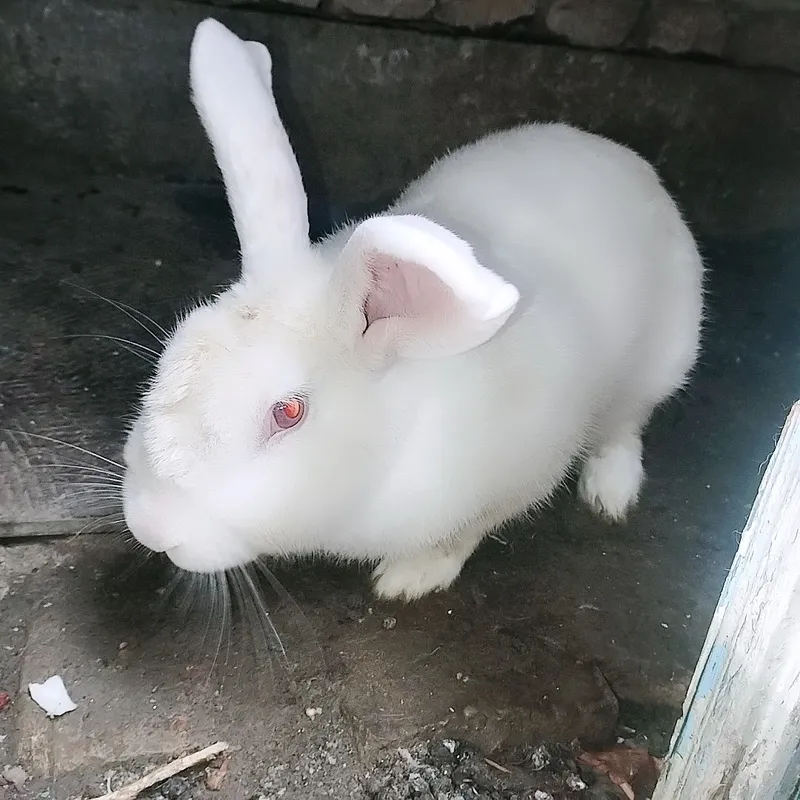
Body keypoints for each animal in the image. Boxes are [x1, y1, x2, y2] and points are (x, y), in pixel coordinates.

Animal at [122, 18, 704, 601]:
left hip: (659, 363)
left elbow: (461, 535)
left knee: (624, 424)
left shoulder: (519, 476)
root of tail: (621, 156)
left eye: (288, 413)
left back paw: (611, 493)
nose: (150, 527)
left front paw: (409, 578)